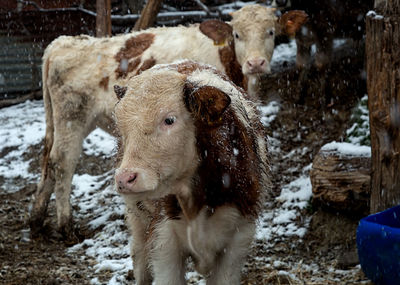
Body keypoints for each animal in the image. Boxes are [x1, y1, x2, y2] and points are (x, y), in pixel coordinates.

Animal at [29, 4, 306, 236]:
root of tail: (63, 42)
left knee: (46, 160)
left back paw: (36, 219)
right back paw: (65, 225)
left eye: (271, 32)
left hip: (55, 121)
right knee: (62, 163)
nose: (256, 63)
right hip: (72, 119)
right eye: (237, 35)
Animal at [112, 60, 268, 284]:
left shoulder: (237, 242)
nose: (125, 178)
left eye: (169, 120)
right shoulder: (163, 244)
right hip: (138, 218)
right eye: (122, 128)